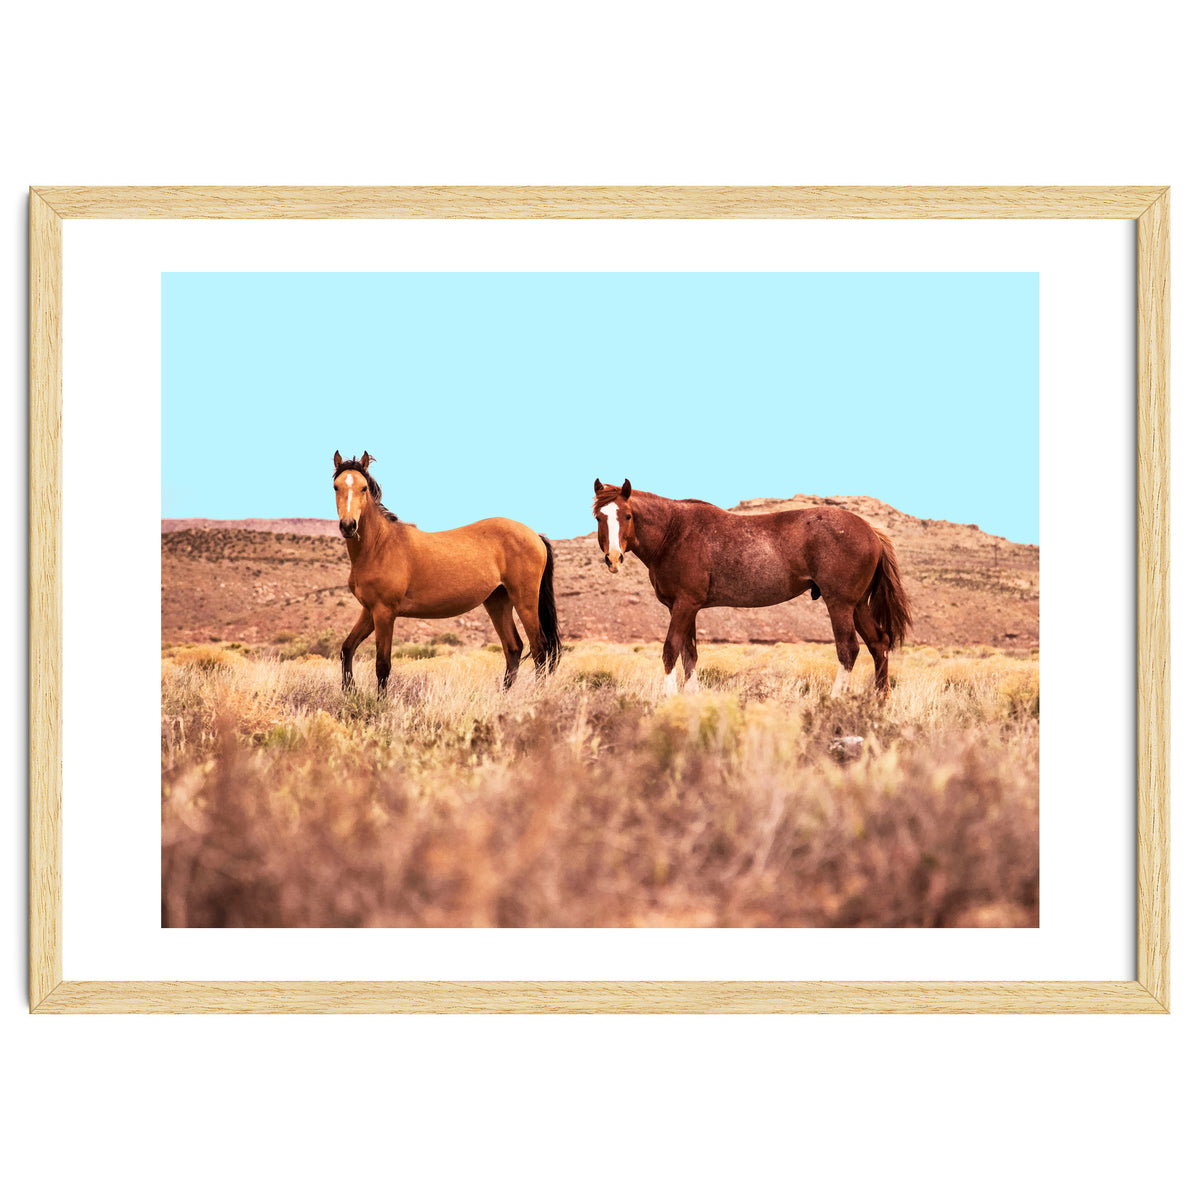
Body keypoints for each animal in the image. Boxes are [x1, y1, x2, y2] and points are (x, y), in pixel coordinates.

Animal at [332, 452, 561, 692]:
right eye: (336, 487)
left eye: (364, 488)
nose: (348, 526)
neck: (379, 545)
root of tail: (535, 535)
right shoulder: (369, 611)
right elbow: (347, 648)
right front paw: (349, 691)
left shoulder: (384, 612)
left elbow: (382, 665)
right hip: (497, 601)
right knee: (513, 648)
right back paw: (504, 696)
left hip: (525, 600)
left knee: (539, 649)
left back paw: (536, 694)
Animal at [592, 478, 912, 698]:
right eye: (599, 517)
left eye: (627, 516)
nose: (613, 558)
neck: (674, 532)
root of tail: (871, 531)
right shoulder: (686, 608)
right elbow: (689, 654)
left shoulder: (684, 605)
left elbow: (671, 650)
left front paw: (669, 698)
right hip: (857, 606)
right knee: (879, 644)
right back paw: (878, 701)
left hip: (840, 604)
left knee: (849, 650)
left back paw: (835, 700)